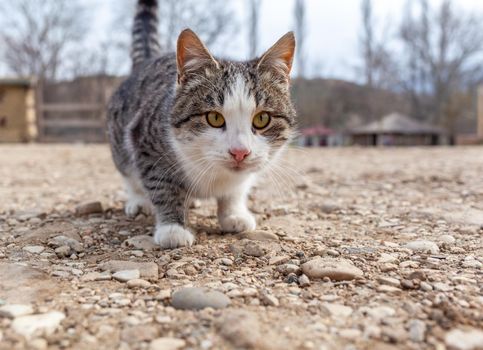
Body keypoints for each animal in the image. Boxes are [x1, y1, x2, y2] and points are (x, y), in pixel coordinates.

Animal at [108, 0, 296, 249]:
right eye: (214, 118)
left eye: (262, 119)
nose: (239, 152)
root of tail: (146, 61)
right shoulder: (147, 142)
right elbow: (162, 185)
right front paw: (173, 228)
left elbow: (236, 190)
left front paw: (233, 213)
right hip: (121, 137)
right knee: (129, 172)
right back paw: (139, 201)